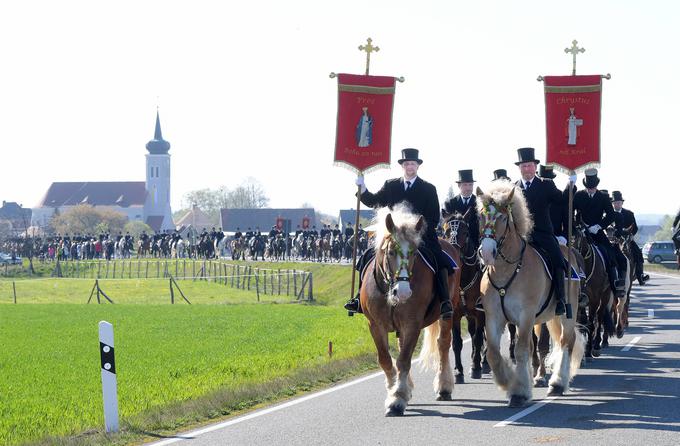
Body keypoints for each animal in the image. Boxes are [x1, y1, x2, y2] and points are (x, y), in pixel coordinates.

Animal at [362, 205, 462, 414]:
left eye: (415, 253)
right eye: (391, 252)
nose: (403, 292)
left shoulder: (412, 324)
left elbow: (404, 359)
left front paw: (397, 398)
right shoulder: (375, 325)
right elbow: (385, 359)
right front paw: (394, 389)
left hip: (448, 312)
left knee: (443, 344)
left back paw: (444, 386)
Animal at [476, 183, 588, 406]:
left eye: (503, 218)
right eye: (481, 216)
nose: (487, 253)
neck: (507, 270)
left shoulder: (525, 316)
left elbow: (520, 350)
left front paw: (518, 391)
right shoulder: (494, 317)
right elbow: (494, 353)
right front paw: (509, 382)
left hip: (567, 311)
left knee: (567, 341)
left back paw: (558, 383)